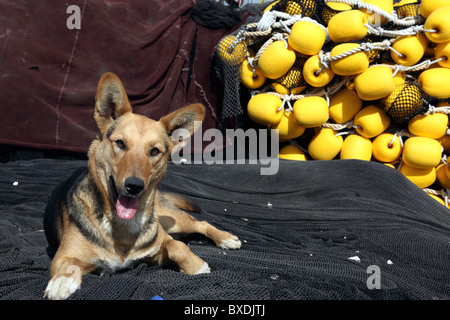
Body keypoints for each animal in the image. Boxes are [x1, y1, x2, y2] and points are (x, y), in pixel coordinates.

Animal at [43, 72, 241, 300]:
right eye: (120, 143)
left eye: (154, 151)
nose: (134, 186)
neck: (122, 225)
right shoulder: (63, 255)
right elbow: (70, 263)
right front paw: (62, 281)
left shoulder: (156, 251)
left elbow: (177, 245)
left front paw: (196, 265)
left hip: (173, 219)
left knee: (201, 223)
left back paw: (225, 238)